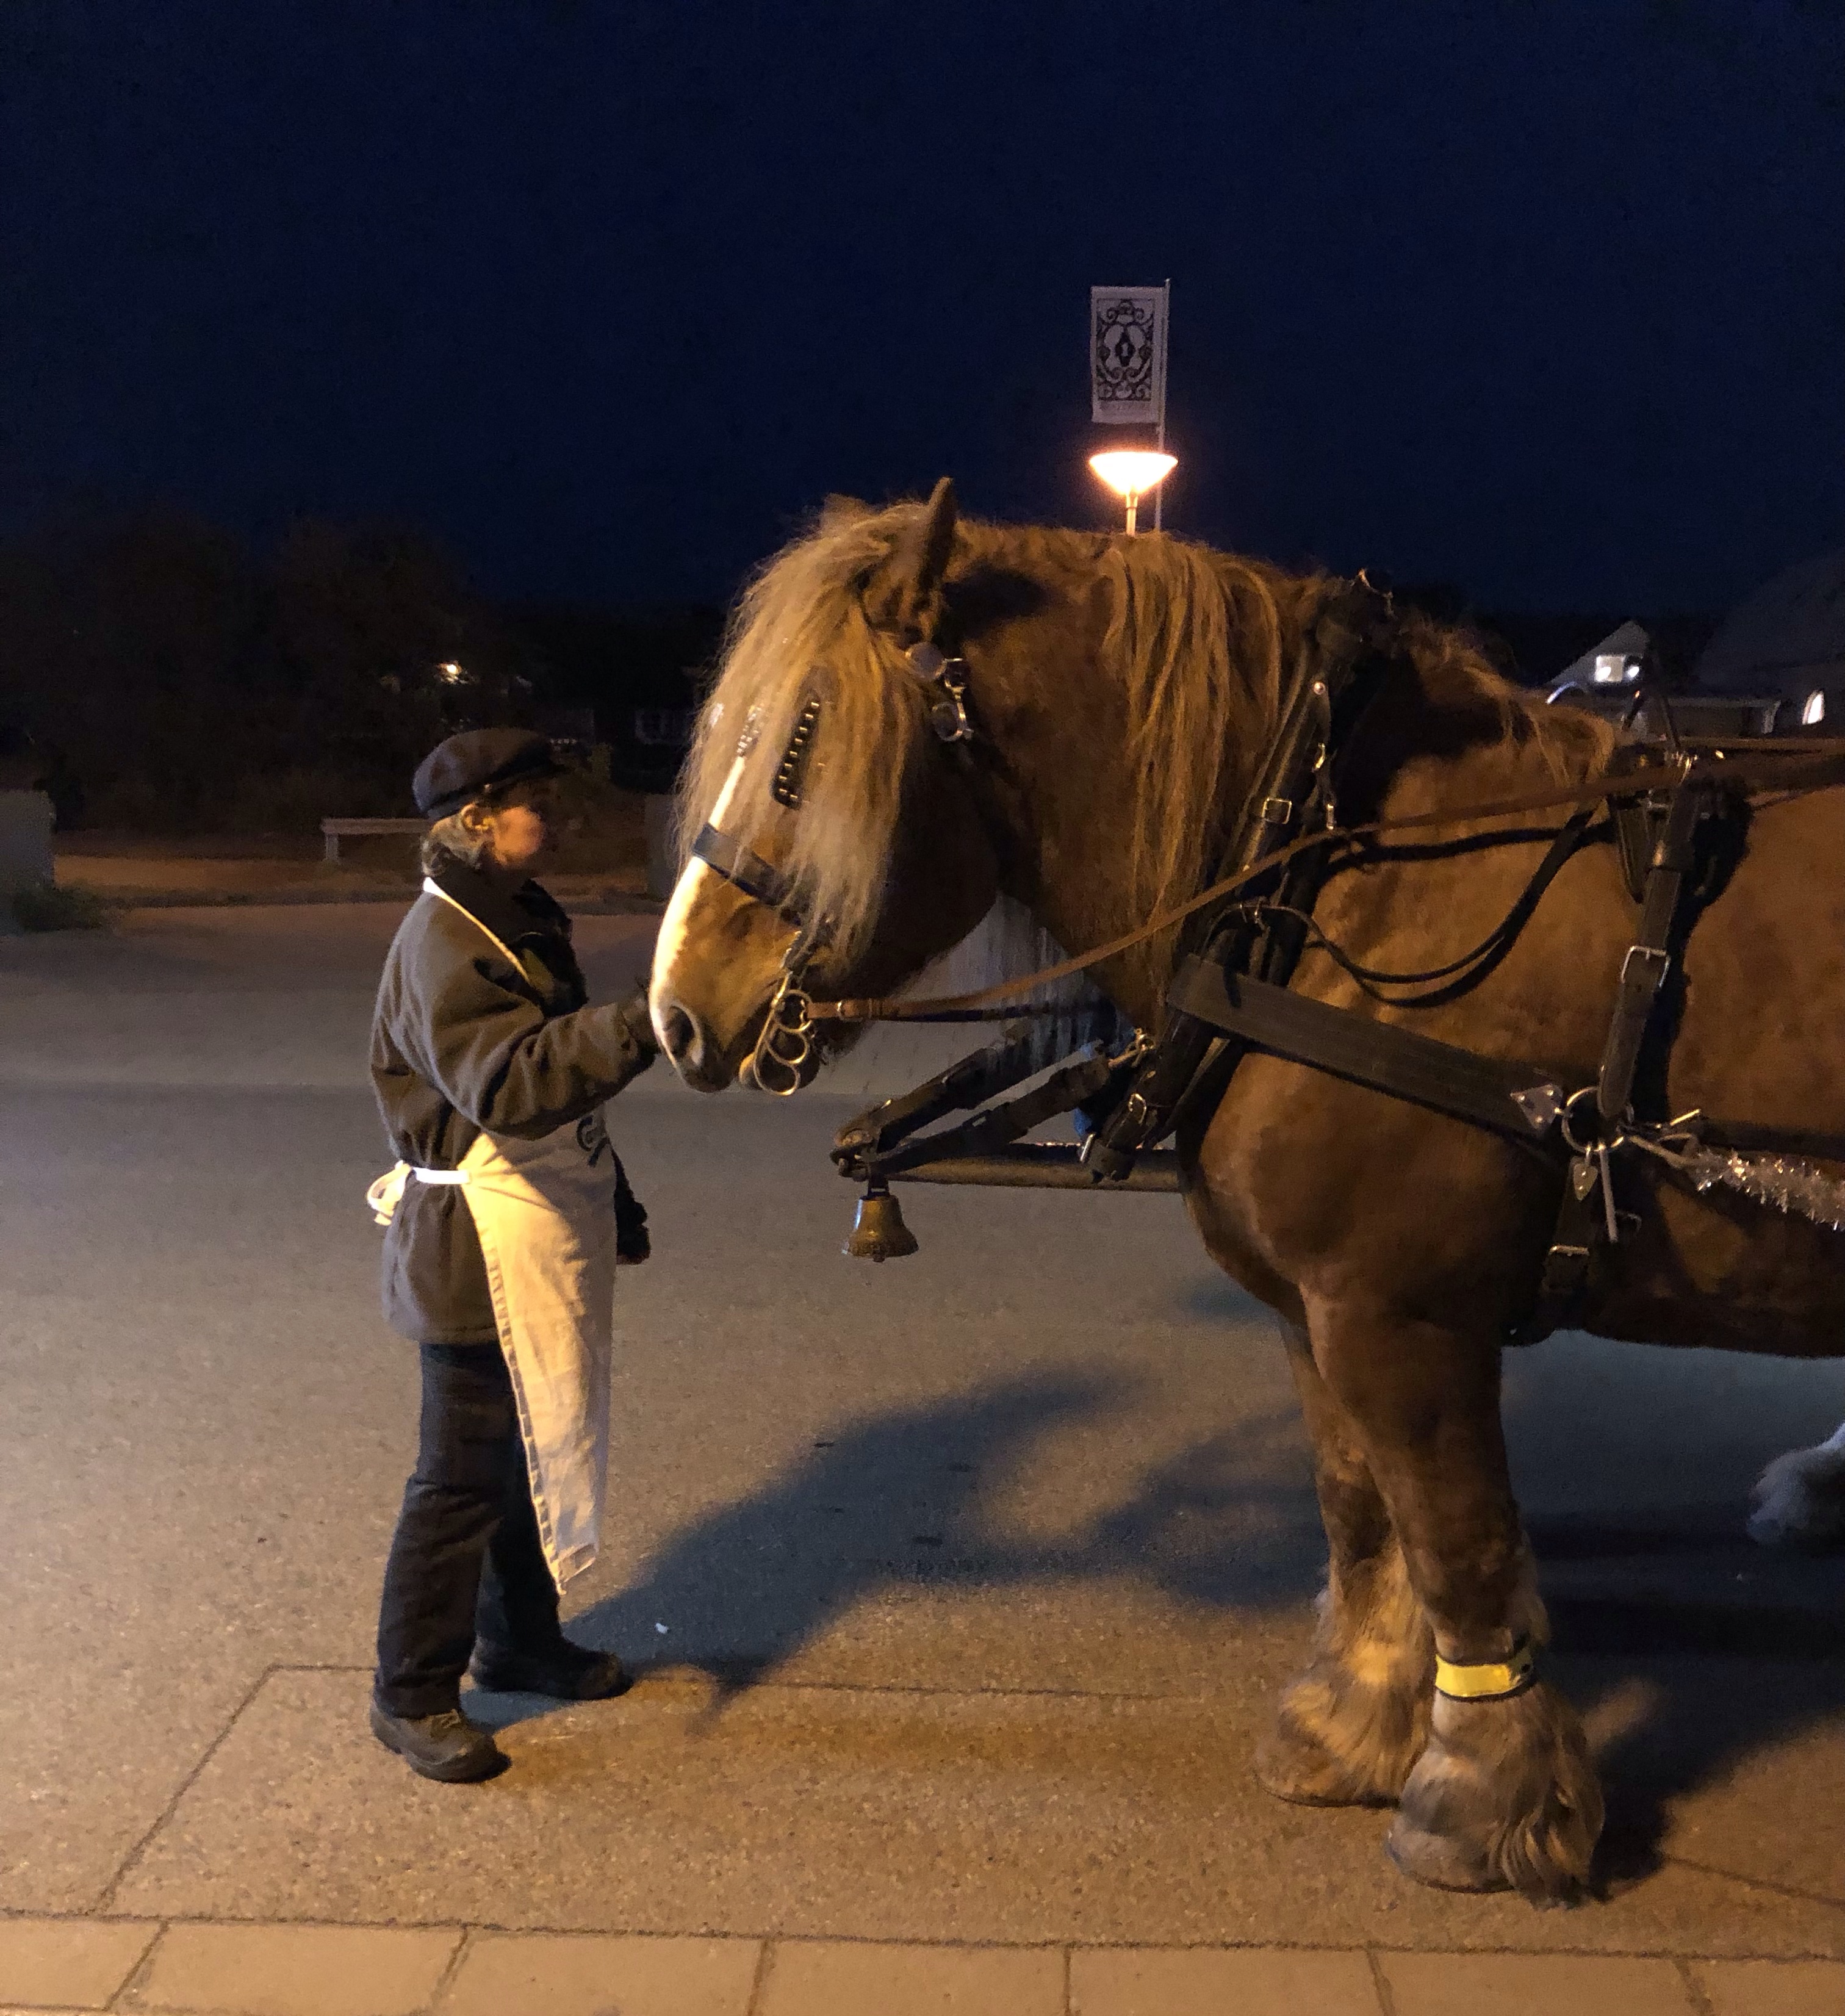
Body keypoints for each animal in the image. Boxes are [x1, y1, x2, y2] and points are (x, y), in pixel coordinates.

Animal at [648, 480, 1845, 1902]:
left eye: (797, 749)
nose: (674, 1010)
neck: (1328, 886)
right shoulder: (1317, 1311)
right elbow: (1361, 1511)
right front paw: (1357, 1720)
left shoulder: (1399, 1317)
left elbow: (1458, 1538)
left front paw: (1482, 1797)